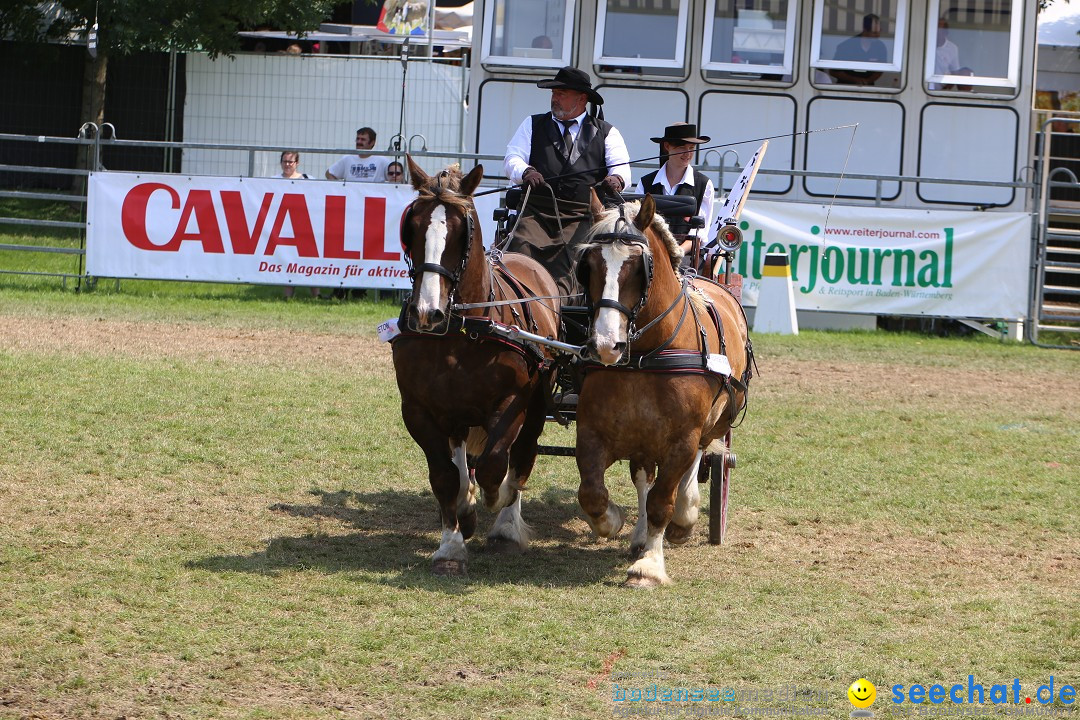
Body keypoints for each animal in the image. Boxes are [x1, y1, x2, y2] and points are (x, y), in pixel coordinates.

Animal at [393, 158, 561, 578]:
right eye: (411, 226)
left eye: (461, 231)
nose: (427, 313)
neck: (462, 329)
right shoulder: (419, 411)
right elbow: (444, 477)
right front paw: (451, 542)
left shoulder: (512, 404)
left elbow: (494, 467)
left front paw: (498, 508)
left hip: (536, 405)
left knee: (522, 455)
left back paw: (506, 525)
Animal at [574, 194, 751, 587]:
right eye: (588, 266)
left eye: (637, 268)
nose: (605, 345)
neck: (646, 354)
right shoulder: (592, 431)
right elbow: (592, 492)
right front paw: (613, 521)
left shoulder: (682, 438)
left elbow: (662, 502)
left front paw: (649, 567)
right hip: (643, 437)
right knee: (644, 477)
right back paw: (641, 534)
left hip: (717, 420)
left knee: (699, 460)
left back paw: (685, 516)